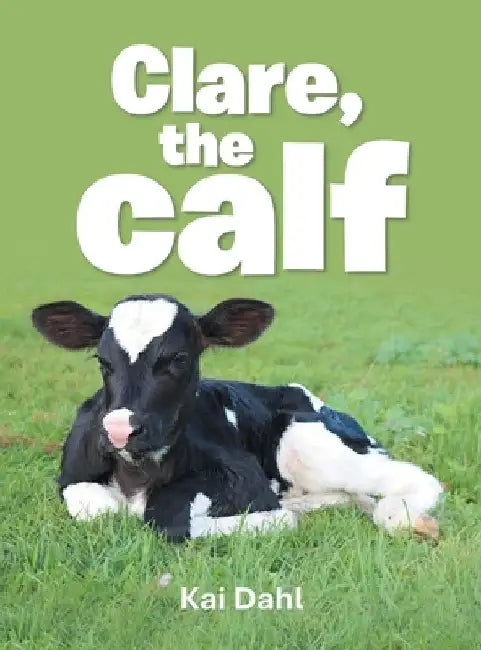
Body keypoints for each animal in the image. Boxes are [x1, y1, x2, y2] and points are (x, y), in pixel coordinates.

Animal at [31, 294, 444, 541]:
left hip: (306, 440)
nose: (119, 430)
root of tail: (300, 393)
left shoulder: (243, 474)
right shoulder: (72, 474)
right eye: (102, 361)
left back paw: (403, 517)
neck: (138, 474)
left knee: (413, 481)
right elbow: (98, 508)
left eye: (179, 358)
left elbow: (170, 519)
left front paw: (276, 519)